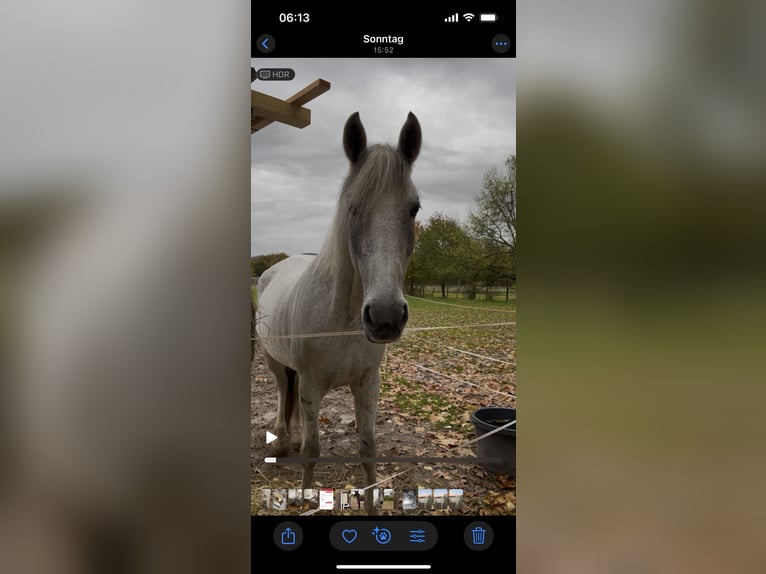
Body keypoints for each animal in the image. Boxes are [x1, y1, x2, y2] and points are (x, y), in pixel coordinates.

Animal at [255, 111, 422, 513]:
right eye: (352, 207)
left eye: (414, 209)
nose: (385, 316)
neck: (341, 321)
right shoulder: (312, 385)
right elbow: (313, 450)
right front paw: (305, 498)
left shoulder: (367, 383)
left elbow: (368, 448)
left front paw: (373, 504)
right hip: (273, 360)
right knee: (282, 389)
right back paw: (282, 440)